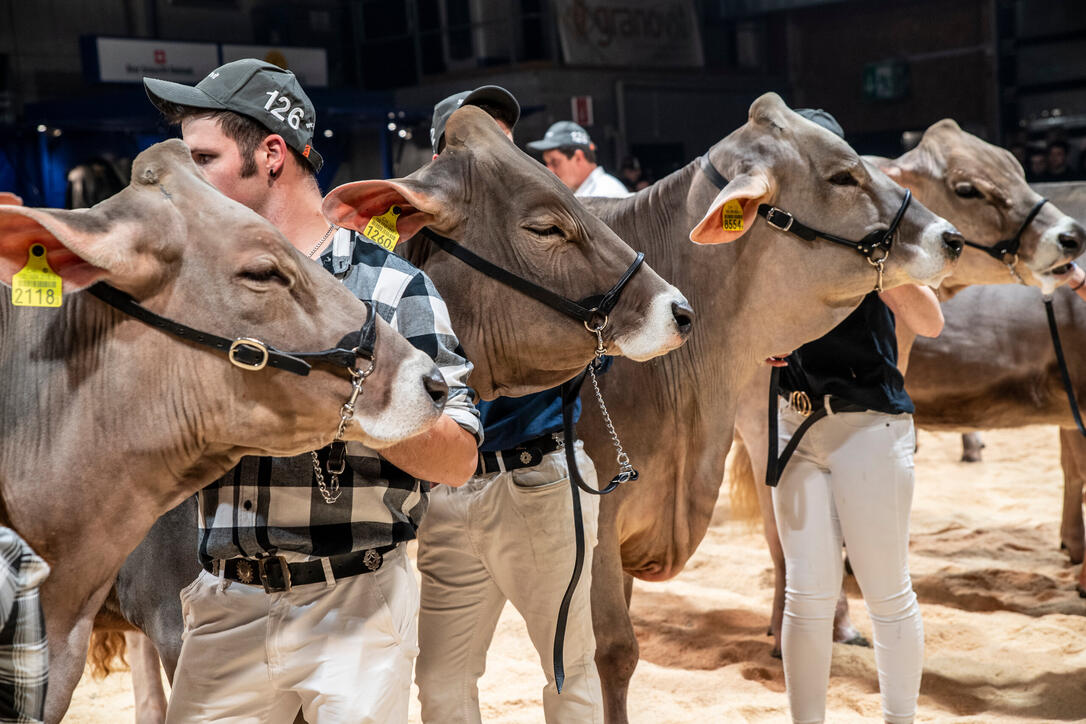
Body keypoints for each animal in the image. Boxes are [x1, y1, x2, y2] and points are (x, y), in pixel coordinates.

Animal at [729, 131, 1086, 664]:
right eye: (967, 188)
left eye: (1017, 168)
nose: (1071, 235)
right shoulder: (758, 424)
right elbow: (782, 535)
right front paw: (821, 626)